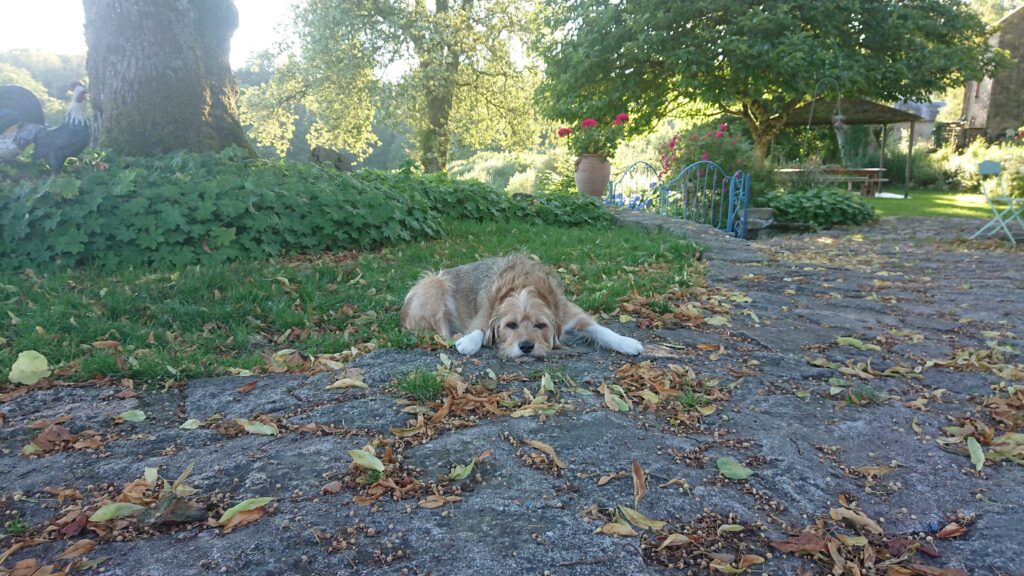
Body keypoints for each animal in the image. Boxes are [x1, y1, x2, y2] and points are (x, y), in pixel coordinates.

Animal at [397, 252, 638, 356]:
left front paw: (626, 342)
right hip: (435, 284)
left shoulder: (571, 314)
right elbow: (479, 329)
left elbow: (600, 329)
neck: (524, 286)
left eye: (540, 325)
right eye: (510, 325)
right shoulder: (485, 313)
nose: (526, 347)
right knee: (439, 333)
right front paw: (470, 342)